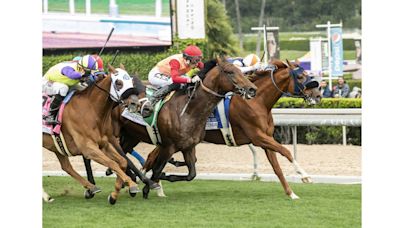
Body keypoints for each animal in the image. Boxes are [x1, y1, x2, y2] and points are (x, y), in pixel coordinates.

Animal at [41, 64, 147, 205]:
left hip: (56, 146)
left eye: (130, 81)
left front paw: (115, 194)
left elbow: (123, 161)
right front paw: (131, 184)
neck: (91, 109)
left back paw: (91, 187)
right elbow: (112, 163)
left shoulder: (104, 144)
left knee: (66, 167)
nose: (135, 103)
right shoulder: (88, 148)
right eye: (118, 83)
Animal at [142, 59, 320, 200]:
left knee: (153, 157)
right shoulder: (258, 137)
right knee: (152, 159)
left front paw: (291, 193)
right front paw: (305, 176)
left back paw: (156, 186)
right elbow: (287, 151)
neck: (258, 102)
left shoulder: (266, 139)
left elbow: (277, 168)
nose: (318, 95)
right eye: (300, 76)